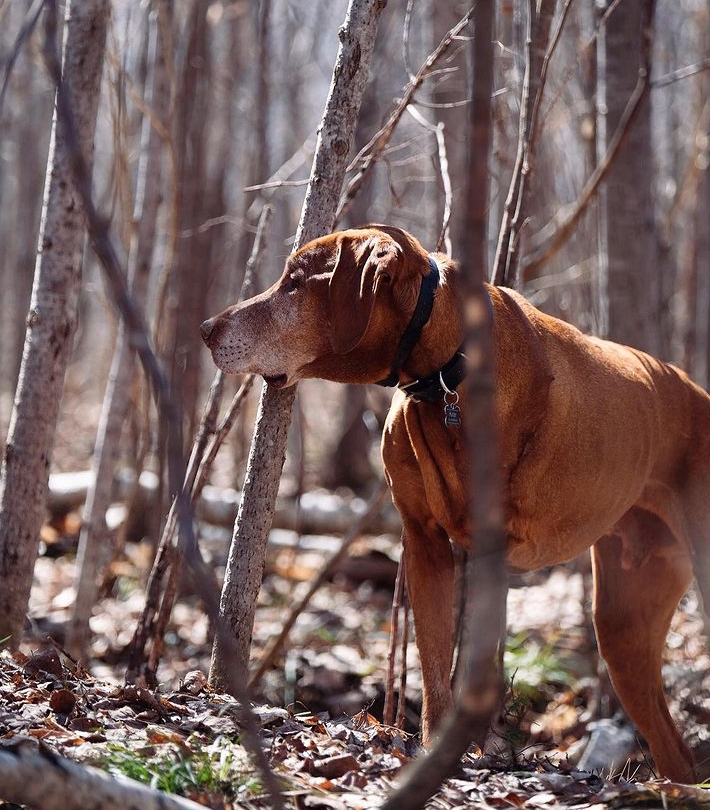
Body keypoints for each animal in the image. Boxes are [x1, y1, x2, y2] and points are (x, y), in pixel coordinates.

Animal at [202, 224, 710, 780]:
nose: (206, 329)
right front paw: (434, 750)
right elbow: (433, 659)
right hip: (623, 620)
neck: (443, 373)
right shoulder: (424, 542)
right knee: (674, 746)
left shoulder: (492, 552)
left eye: (295, 282)